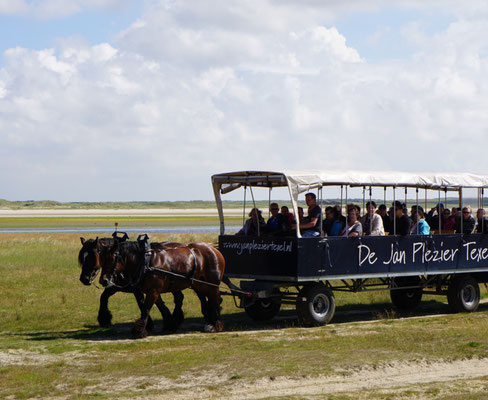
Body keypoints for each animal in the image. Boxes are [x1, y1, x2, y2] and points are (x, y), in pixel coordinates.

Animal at [99, 238, 229, 338]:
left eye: (112, 258)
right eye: (101, 259)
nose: (103, 280)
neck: (146, 262)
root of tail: (213, 249)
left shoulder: (153, 292)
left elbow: (146, 309)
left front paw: (139, 331)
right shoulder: (154, 292)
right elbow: (162, 307)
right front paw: (170, 325)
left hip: (212, 285)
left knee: (215, 300)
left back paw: (217, 324)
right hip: (199, 285)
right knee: (210, 300)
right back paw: (210, 320)